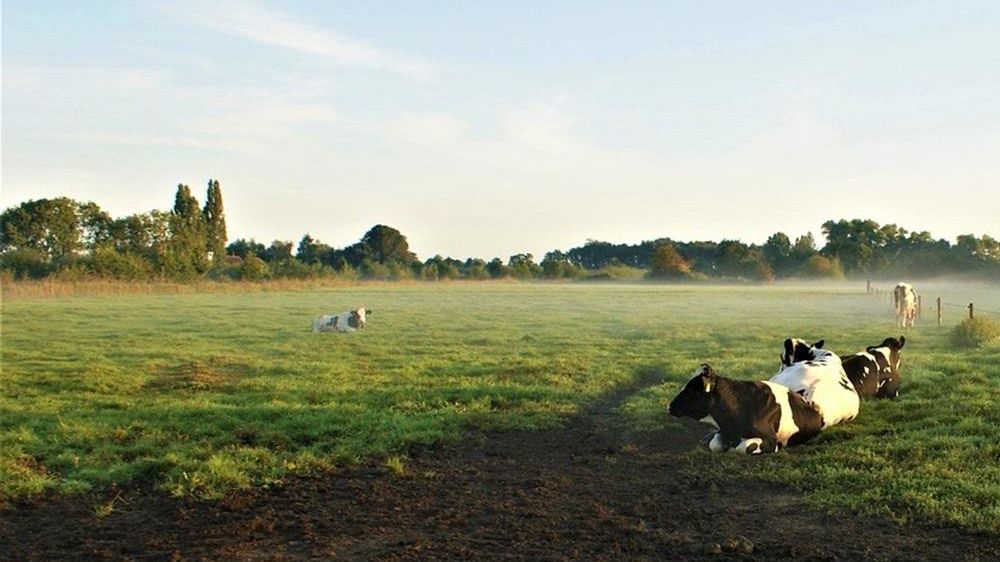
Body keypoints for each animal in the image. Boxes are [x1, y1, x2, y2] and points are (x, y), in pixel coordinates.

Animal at [668, 364, 824, 454]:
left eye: (691, 390)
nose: (670, 406)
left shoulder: (770, 439)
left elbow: (744, 448)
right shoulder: (723, 430)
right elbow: (715, 444)